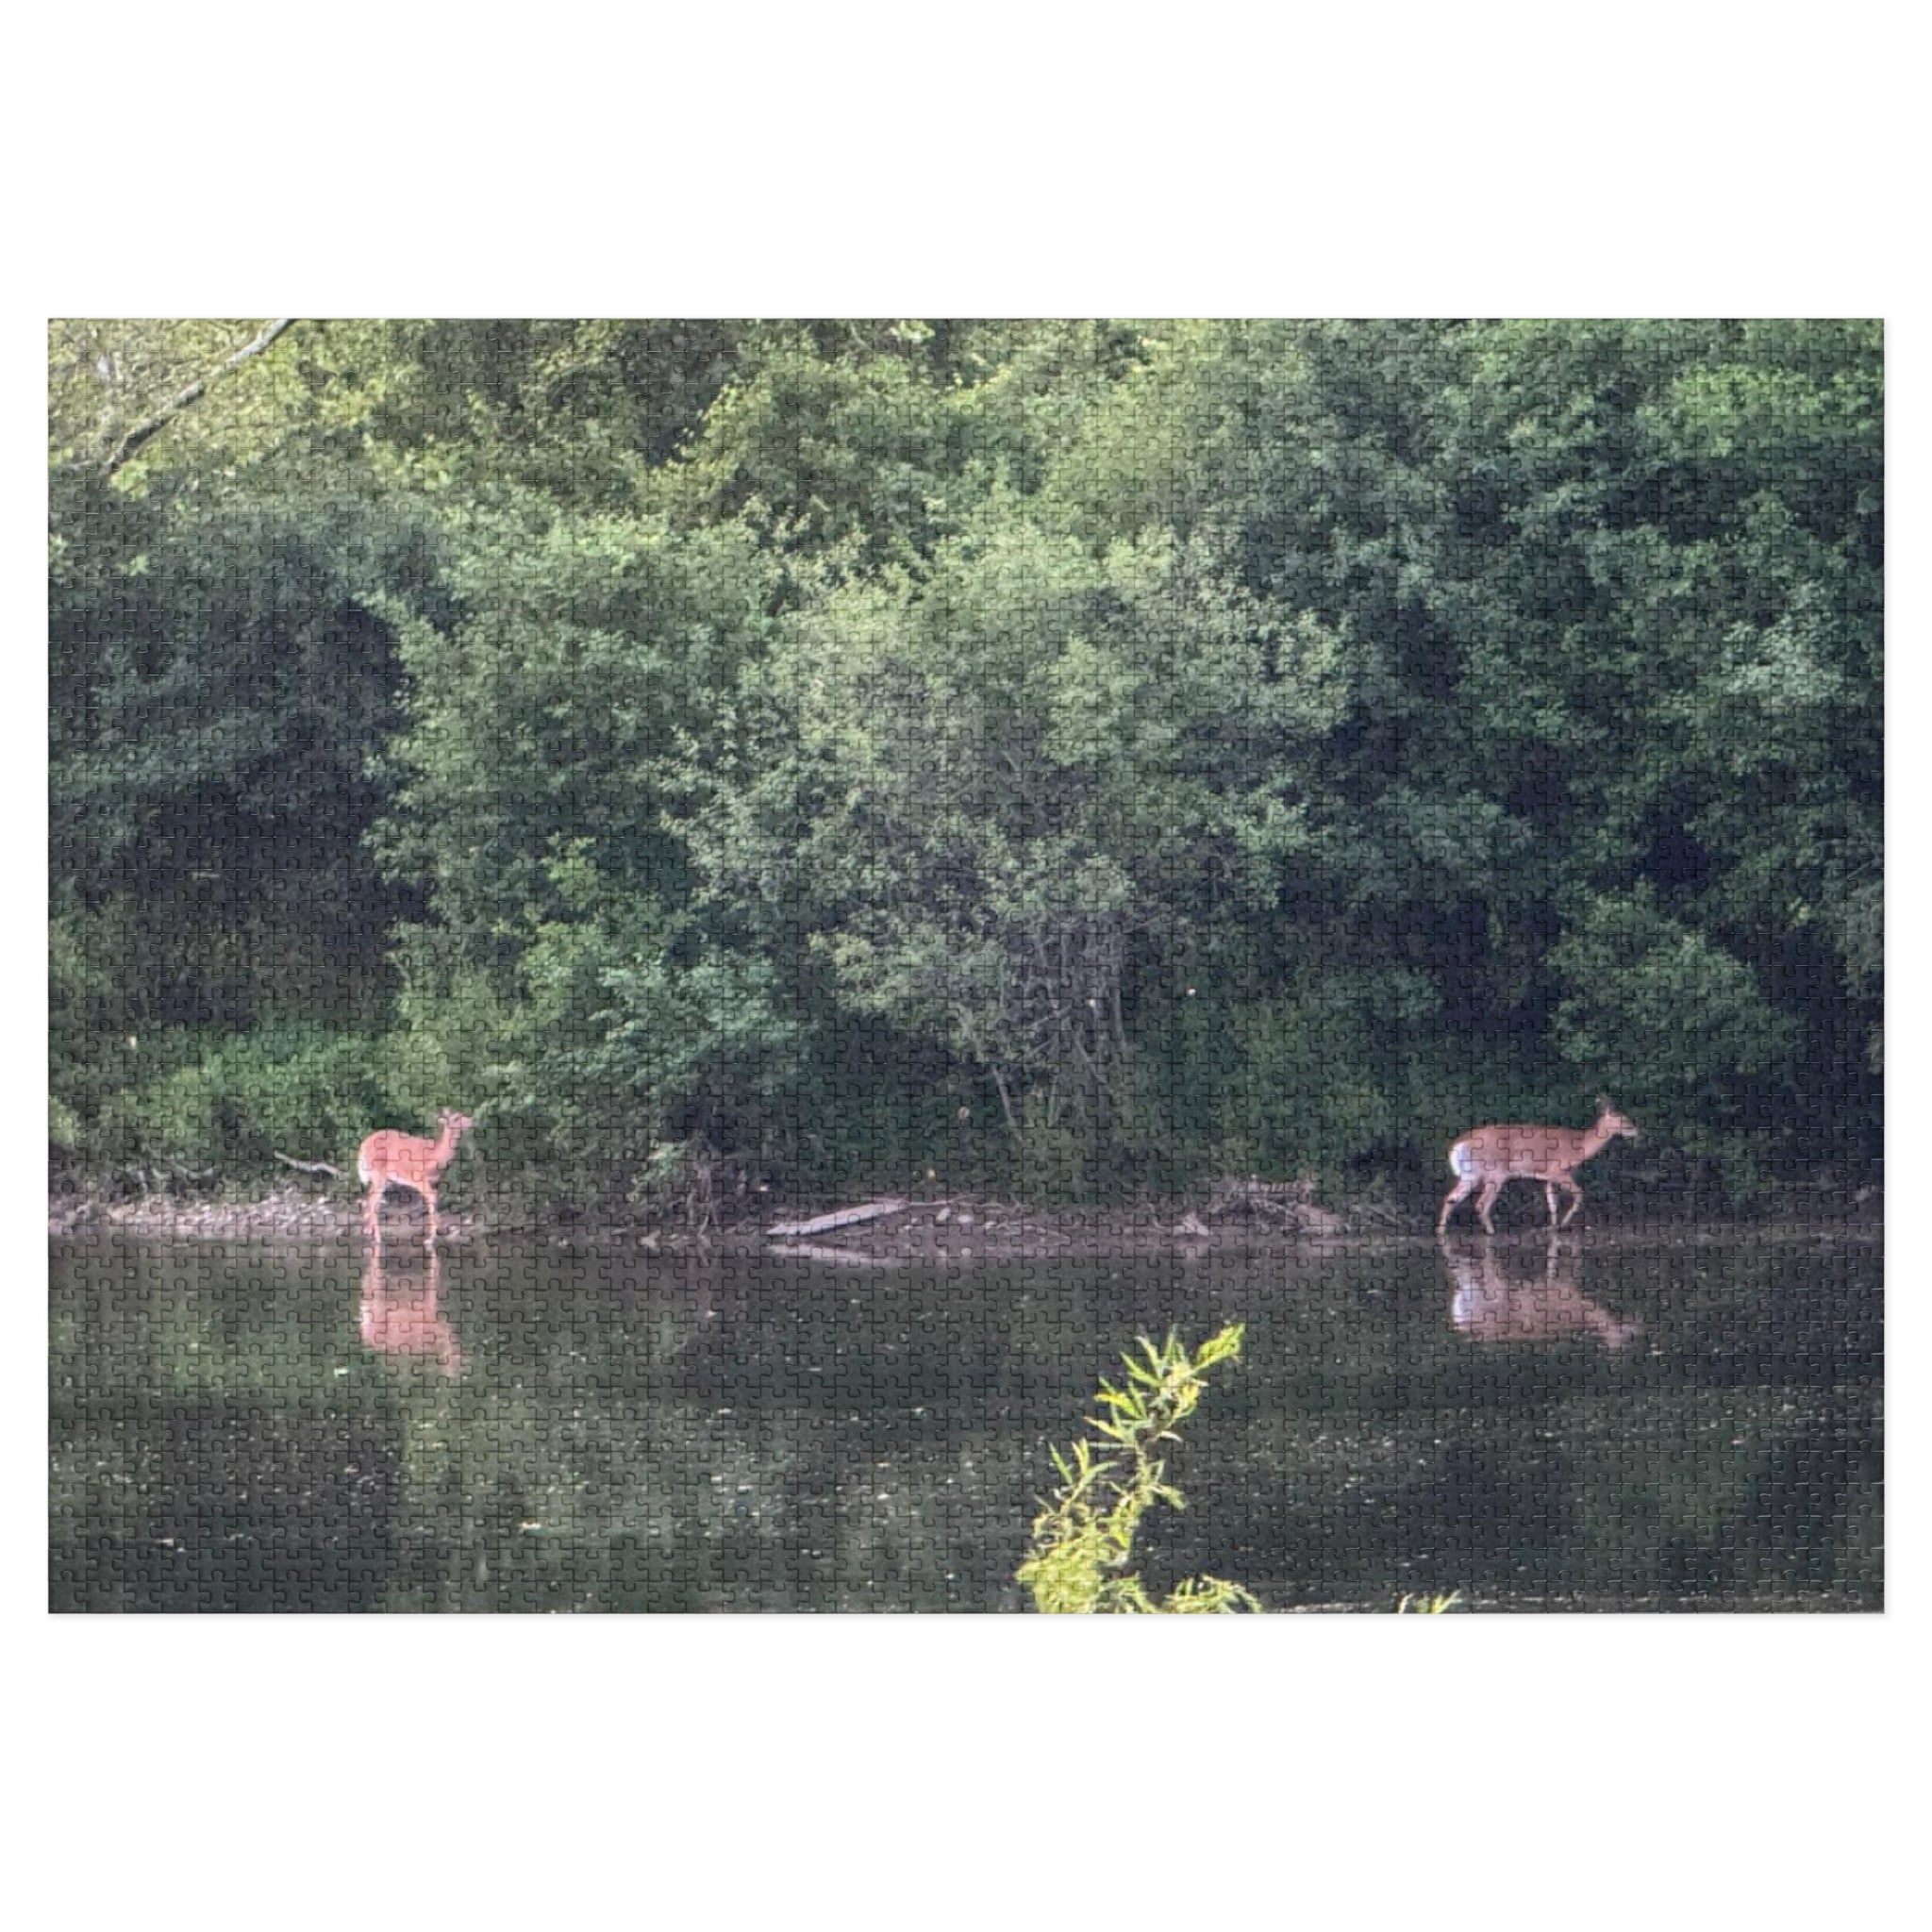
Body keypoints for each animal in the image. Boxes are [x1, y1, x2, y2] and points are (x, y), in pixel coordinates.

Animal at [357, 1110, 474, 1249]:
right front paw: (431, 1239)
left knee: (371, 1198)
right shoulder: (419, 1179)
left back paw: (368, 1231)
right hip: (378, 1174)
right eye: (457, 1118)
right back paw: (378, 1238)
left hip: (382, 1178)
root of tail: (363, 1146)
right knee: (373, 1199)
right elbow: (432, 1198)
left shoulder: (434, 1181)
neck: (435, 1156)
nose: (472, 1120)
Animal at [1436, 1097, 1638, 1235]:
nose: (1636, 1131)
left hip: (1470, 1174)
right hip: (1495, 1173)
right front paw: (1563, 1225)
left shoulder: (1548, 1177)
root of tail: (1460, 1144)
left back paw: (1440, 1233)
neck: (1579, 1147)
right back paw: (1492, 1233)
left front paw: (1553, 1227)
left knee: (1450, 1198)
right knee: (1480, 1204)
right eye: (1623, 1119)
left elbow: (1552, 1204)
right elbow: (1579, 1194)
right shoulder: (1559, 1171)